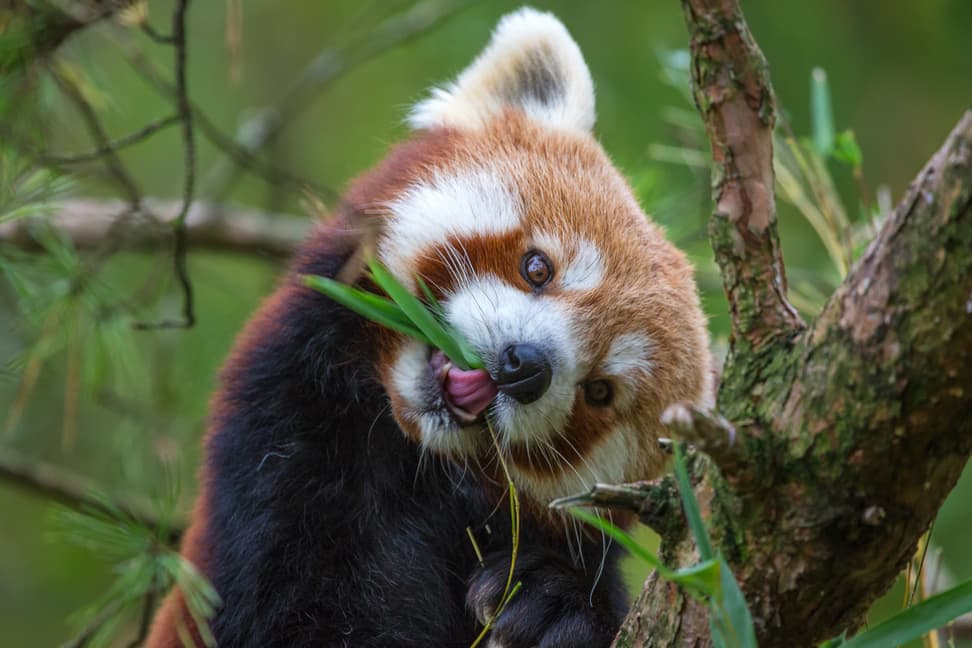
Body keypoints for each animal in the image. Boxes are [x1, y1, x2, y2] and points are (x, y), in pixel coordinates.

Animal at [150, 8, 712, 648]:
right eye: (537, 267)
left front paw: (551, 603)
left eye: (600, 392)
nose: (526, 366)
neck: (417, 465)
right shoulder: (275, 479)